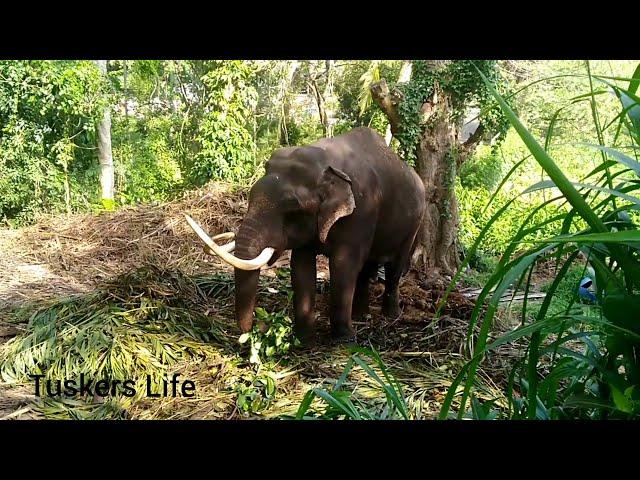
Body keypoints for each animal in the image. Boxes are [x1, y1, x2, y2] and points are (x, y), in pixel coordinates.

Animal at [185, 125, 424, 340]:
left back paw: (390, 315)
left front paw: (344, 340)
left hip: (413, 225)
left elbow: (343, 265)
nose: (251, 332)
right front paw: (302, 337)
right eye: (250, 195)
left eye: (292, 208)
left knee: (395, 267)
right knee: (368, 267)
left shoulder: (361, 212)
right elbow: (300, 266)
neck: (327, 162)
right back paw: (361, 316)